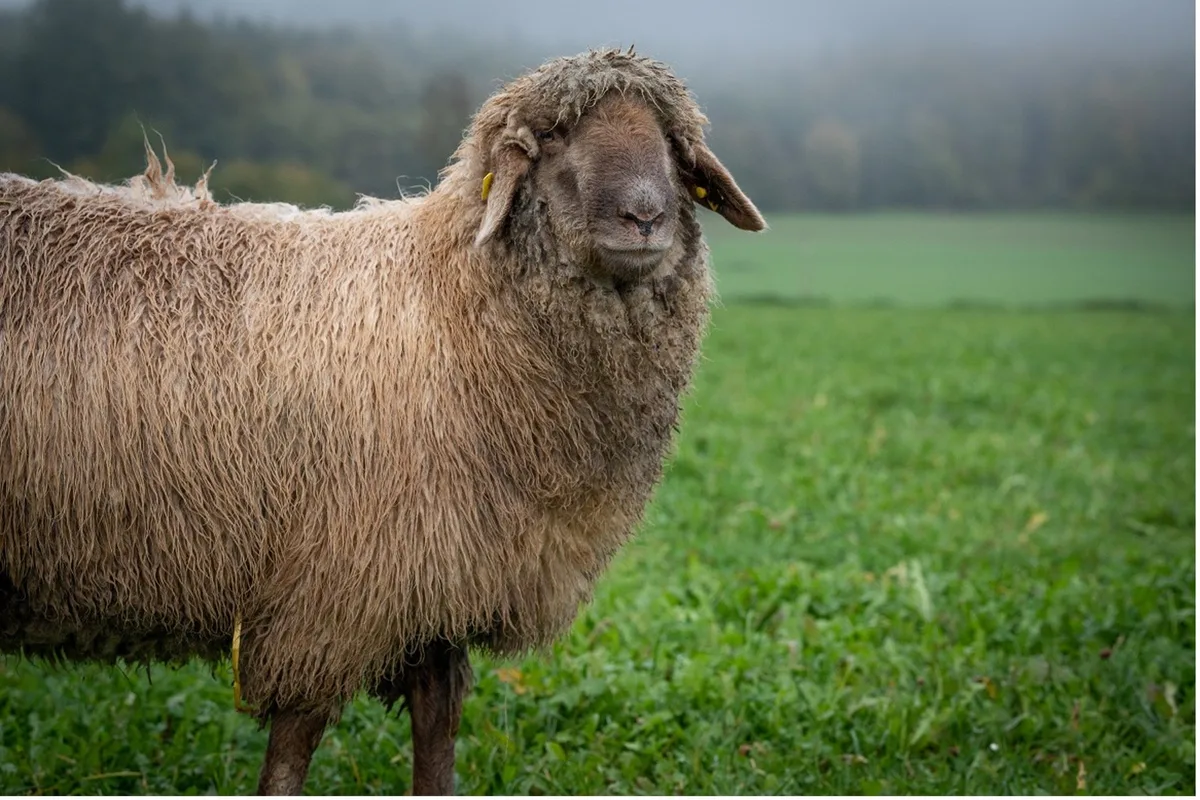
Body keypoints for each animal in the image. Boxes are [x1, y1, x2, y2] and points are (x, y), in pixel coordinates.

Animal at [0, 47, 765, 795]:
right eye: (552, 139)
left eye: (672, 145)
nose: (645, 217)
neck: (450, 305)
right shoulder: (337, 589)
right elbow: (294, 747)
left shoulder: (436, 579)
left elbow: (436, 726)